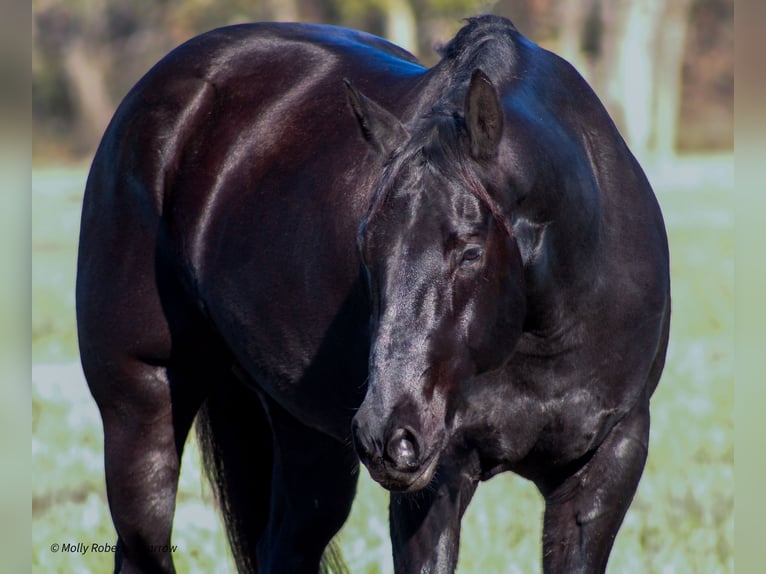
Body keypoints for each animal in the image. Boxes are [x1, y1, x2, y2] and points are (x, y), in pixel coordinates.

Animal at [78, 13, 672, 574]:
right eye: (365, 246)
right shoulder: (438, 478)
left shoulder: (608, 462)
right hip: (143, 409)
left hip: (307, 443)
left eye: (470, 251)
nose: (386, 434)